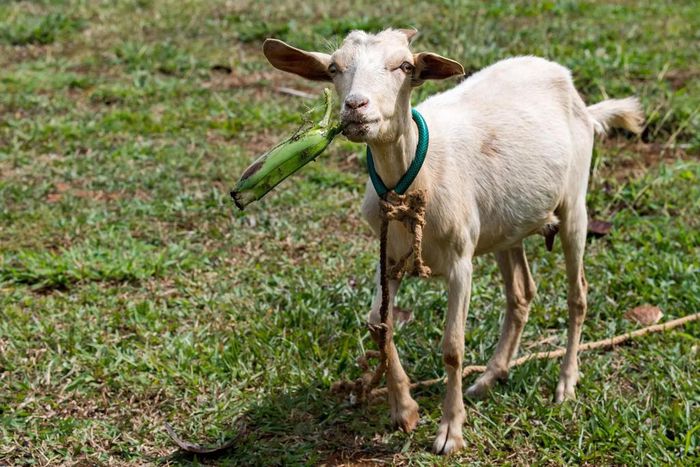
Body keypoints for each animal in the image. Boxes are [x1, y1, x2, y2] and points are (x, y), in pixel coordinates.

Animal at [263, 28, 644, 455]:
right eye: (333, 68)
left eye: (404, 66)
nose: (355, 106)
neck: (415, 177)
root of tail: (579, 98)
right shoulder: (388, 259)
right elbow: (378, 324)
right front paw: (405, 410)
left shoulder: (461, 261)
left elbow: (452, 347)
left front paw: (450, 431)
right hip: (505, 226)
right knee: (521, 293)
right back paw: (491, 377)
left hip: (574, 201)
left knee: (578, 293)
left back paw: (565, 383)